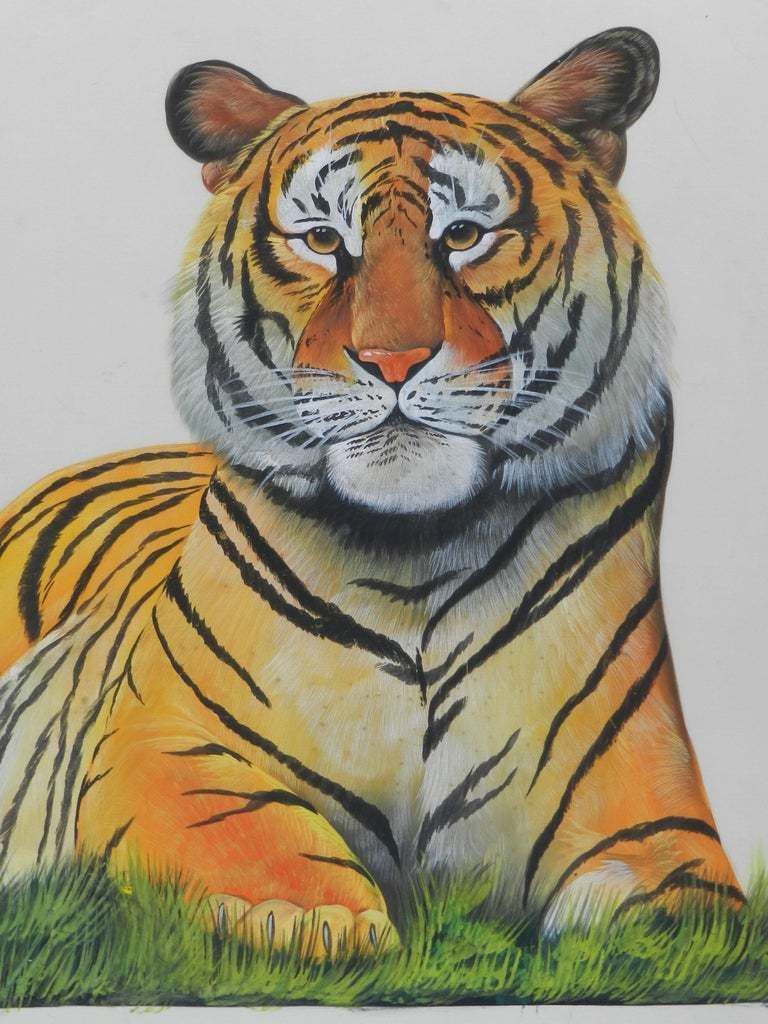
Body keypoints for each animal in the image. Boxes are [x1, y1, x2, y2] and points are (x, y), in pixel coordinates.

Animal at [0, 26, 743, 955]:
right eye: (323, 239)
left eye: (464, 233)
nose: (392, 359)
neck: (414, 557)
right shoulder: (162, 735)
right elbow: (247, 824)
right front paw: (309, 917)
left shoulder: (652, 801)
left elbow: (675, 906)